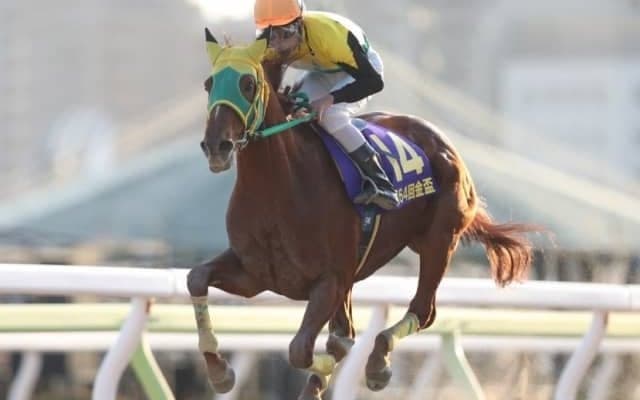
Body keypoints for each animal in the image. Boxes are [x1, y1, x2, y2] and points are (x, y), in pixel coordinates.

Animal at [186, 30, 537, 400]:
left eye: (248, 84)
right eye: (209, 84)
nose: (216, 146)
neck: (279, 191)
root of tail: (442, 141)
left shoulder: (330, 280)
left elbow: (303, 350)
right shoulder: (255, 275)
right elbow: (196, 277)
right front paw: (220, 371)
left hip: (438, 242)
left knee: (423, 312)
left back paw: (378, 362)